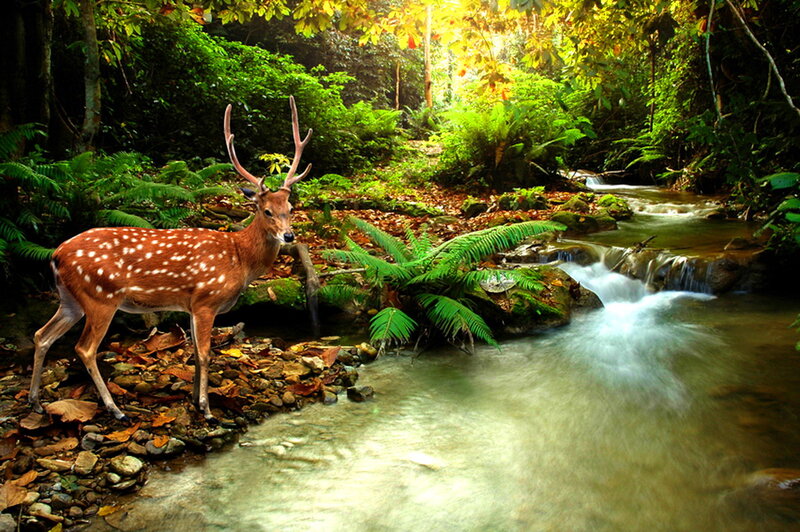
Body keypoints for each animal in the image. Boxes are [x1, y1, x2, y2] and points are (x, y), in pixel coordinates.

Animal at [28, 96, 312, 421]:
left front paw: (194, 401)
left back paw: (36, 401)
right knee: (84, 348)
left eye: (290, 208)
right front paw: (207, 410)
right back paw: (115, 409)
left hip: (70, 299)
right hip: (101, 296)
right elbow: (205, 353)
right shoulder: (206, 300)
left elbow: (195, 354)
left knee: (41, 335)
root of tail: (56, 255)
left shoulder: (190, 305)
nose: (288, 236)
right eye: (266, 210)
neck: (239, 258)